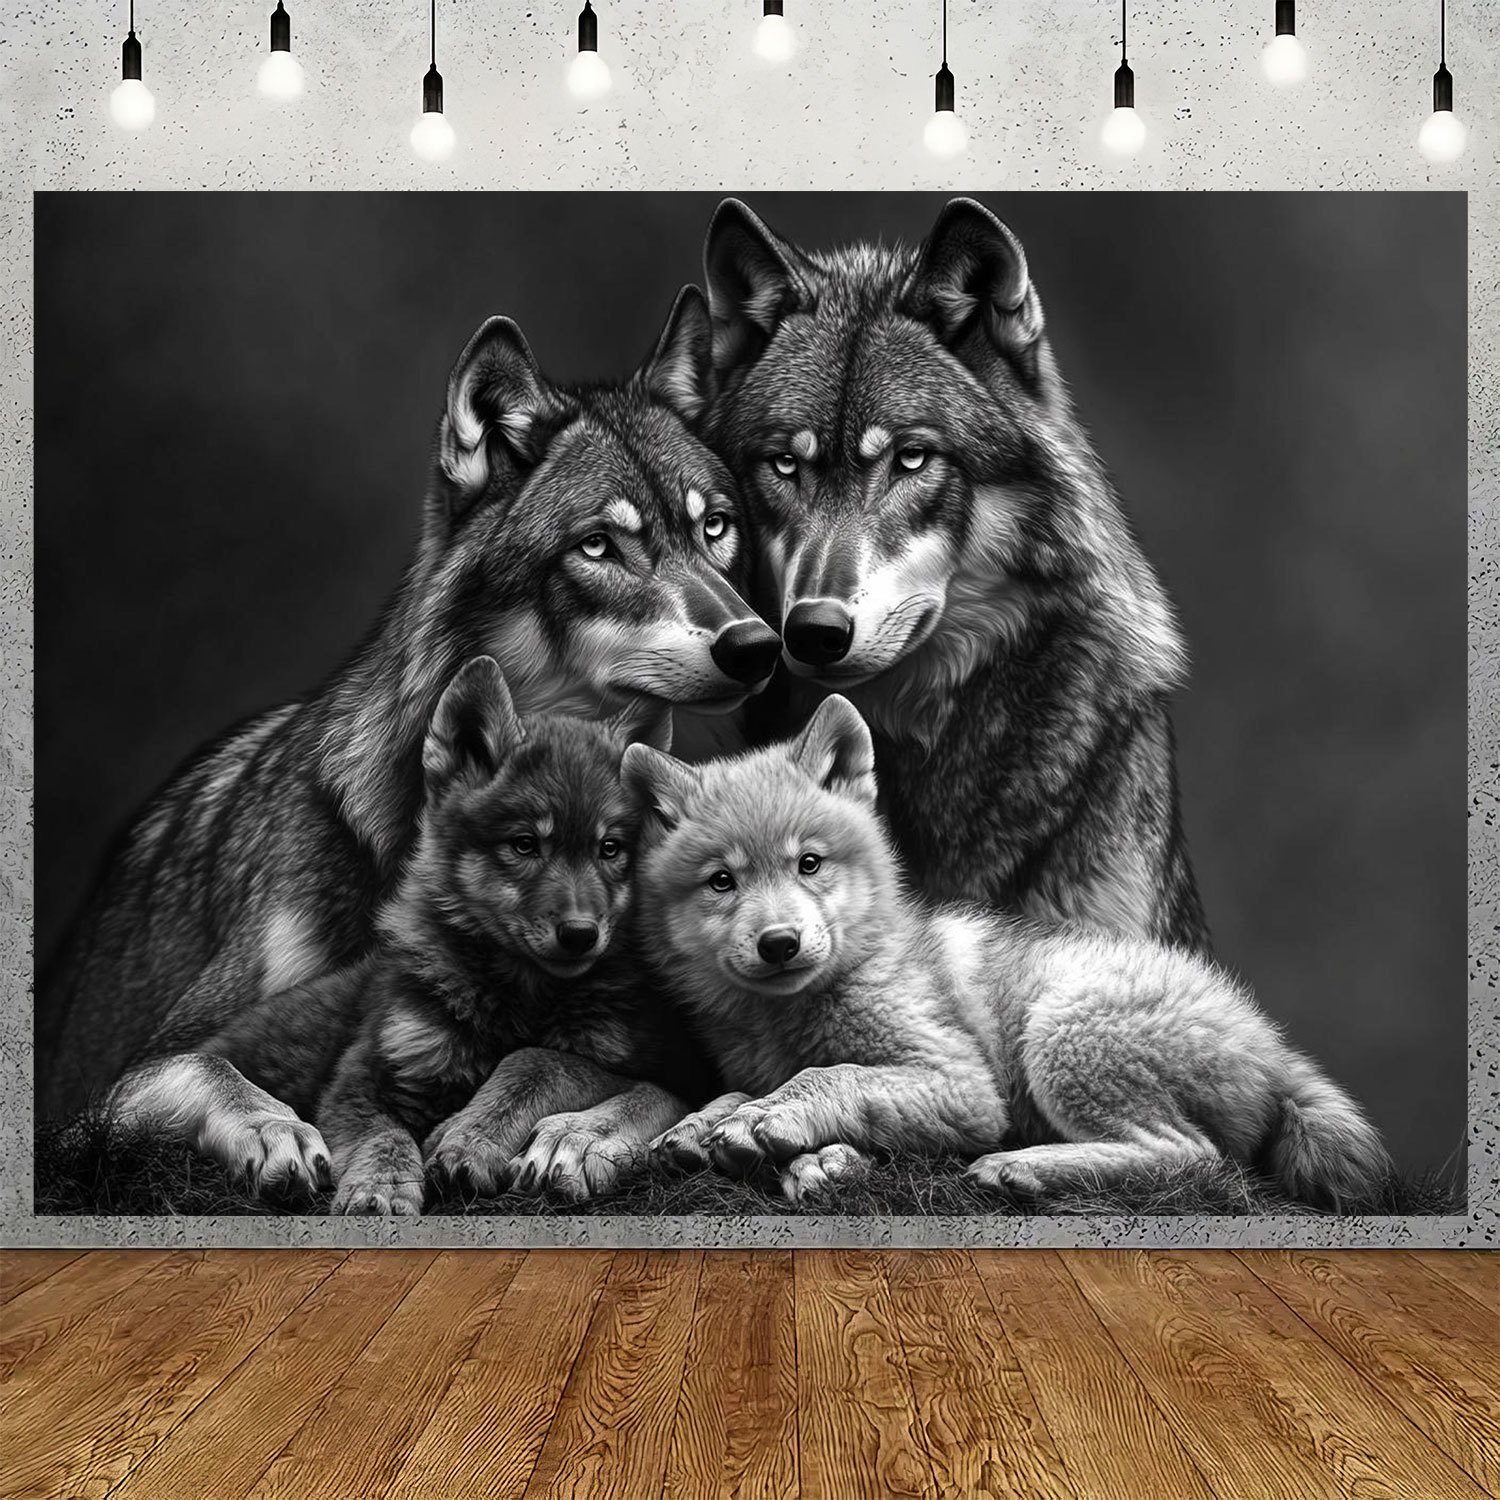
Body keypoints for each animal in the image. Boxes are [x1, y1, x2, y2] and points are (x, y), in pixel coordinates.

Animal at [108, 657, 707, 1209]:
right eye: (524, 845)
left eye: (610, 849)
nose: (581, 934)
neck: (516, 1004)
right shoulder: (360, 1083)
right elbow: (386, 1136)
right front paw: (382, 1190)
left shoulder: (634, 1065)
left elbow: (539, 1062)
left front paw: (473, 1136)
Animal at [625, 696, 1390, 1210]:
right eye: (722, 882)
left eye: (808, 864)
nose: (779, 944)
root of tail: (1271, 1045)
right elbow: (739, 1090)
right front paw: (710, 1125)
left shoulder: (965, 1086)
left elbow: (832, 1075)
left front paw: (773, 1121)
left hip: (1062, 1033)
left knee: (1195, 1159)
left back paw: (1023, 1167)